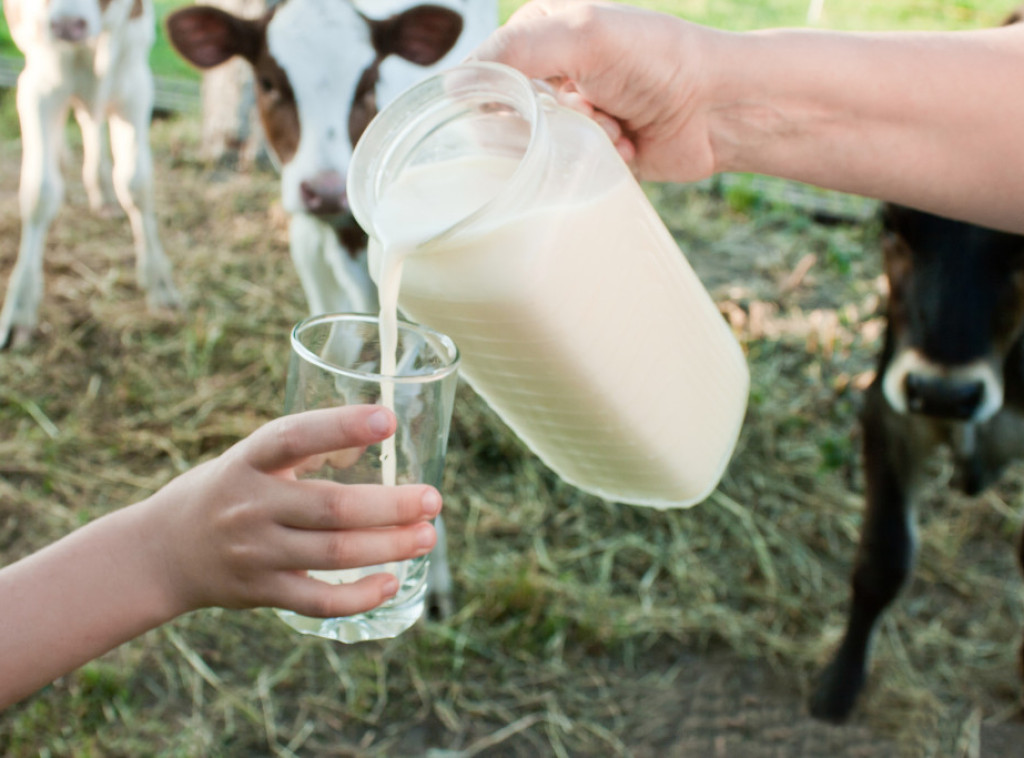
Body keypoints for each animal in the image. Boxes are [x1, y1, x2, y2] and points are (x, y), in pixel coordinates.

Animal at [1, 0, 181, 348]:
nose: (66, 26)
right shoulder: (38, 88)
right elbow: (40, 191)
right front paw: (20, 305)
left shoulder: (135, 85)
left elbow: (136, 183)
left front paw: (158, 280)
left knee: (90, 120)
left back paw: (103, 192)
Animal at [806, 202, 1024, 721]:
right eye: (893, 225)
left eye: (1022, 247)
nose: (944, 394)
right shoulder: (889, 411)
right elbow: (882, 557)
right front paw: (837, 688)